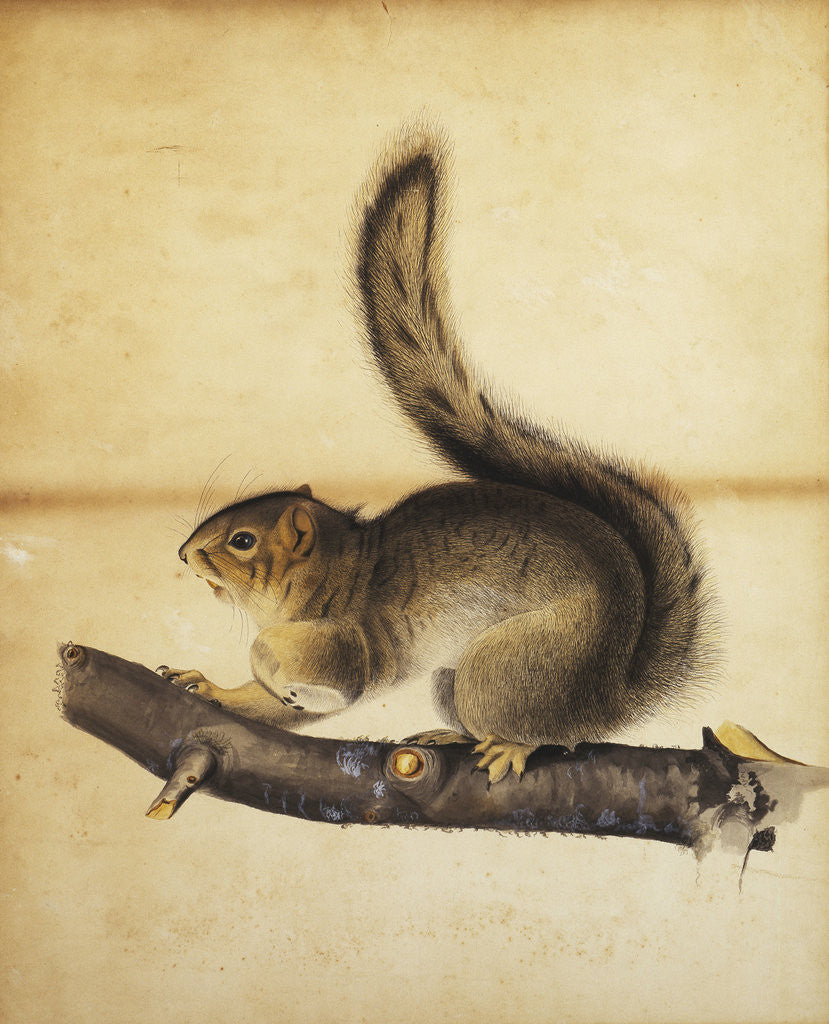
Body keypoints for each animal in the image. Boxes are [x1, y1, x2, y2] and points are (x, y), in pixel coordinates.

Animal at [164, 125, 716, 784]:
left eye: (242, 541)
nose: (184, 554)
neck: (340, 572)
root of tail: (612, 697)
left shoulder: (356, 642)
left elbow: (330, 678)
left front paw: (267, 658)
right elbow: (265, 704)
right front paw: (206, 686)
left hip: (506, 667)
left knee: (552, 733)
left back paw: (511, 746)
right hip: (451, 680)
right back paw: (452, 737)